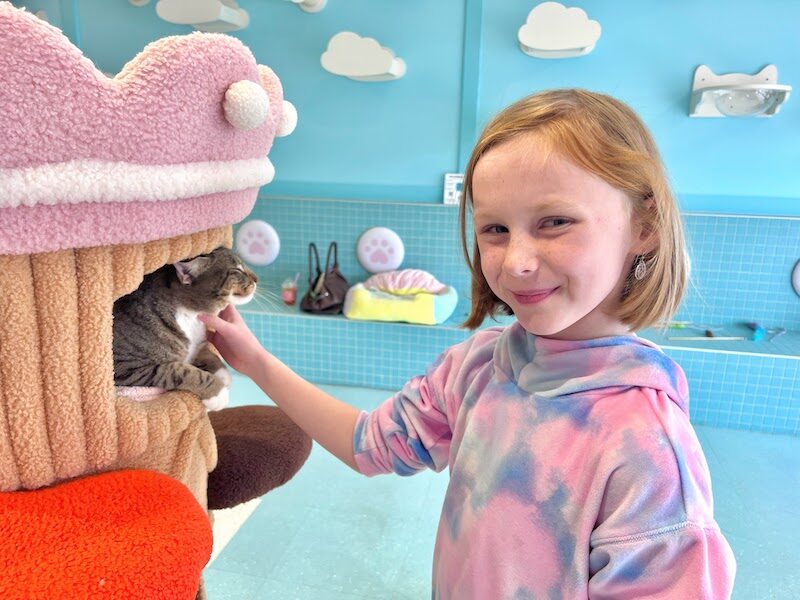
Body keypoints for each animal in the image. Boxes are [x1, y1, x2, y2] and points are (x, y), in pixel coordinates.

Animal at [111, 246, 256, 410]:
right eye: (237, 270)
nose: (257, 279)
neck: (191, 315)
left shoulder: (198, 341)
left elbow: (205, 352)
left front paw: (222, 373)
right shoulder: (126, 366)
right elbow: (179, 370)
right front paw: (218, 394)